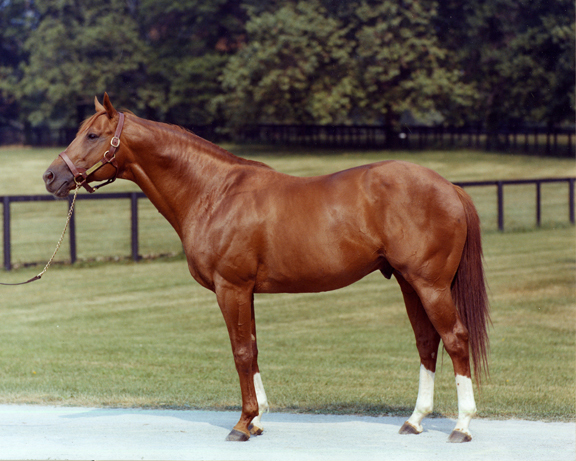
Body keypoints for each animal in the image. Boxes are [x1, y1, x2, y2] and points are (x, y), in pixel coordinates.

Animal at [42, 93, 488, 442]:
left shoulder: (231, 288)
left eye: (93, 135)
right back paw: (415, 421)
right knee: (427, 342)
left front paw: (242, 424)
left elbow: (240, 351)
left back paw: (462, 426)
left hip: (430, 284)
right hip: (409, 284)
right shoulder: (246, 292)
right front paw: (256, 420)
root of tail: (450, 187)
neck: (213, 192)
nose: (50, 176)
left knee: (455, 339)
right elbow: (253, 348)